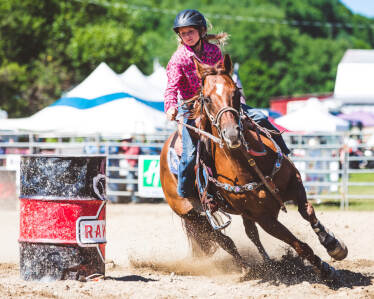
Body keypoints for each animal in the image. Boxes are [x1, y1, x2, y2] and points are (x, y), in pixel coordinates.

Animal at [159, 54, 348, 282]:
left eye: (236, 92)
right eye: (207, 99)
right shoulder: (264, 218)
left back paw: (268, 264)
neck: (250, 163)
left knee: (251, 235)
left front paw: (334, 245)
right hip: (192, 214)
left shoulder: (295, 184)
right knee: (225, 241)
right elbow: (299, 245)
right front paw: (325, 269)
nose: (232, 134)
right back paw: (246, 268)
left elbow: (308, 212)